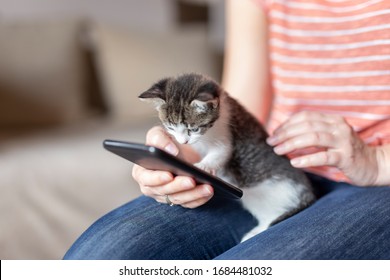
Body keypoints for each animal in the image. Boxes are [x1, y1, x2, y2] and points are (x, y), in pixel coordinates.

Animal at [139, 73, 316, 242]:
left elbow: (220, 153)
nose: (183, 141)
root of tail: (309, 194)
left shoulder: (225, 136)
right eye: (170, 127)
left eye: (194, 129)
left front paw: (202, 167)